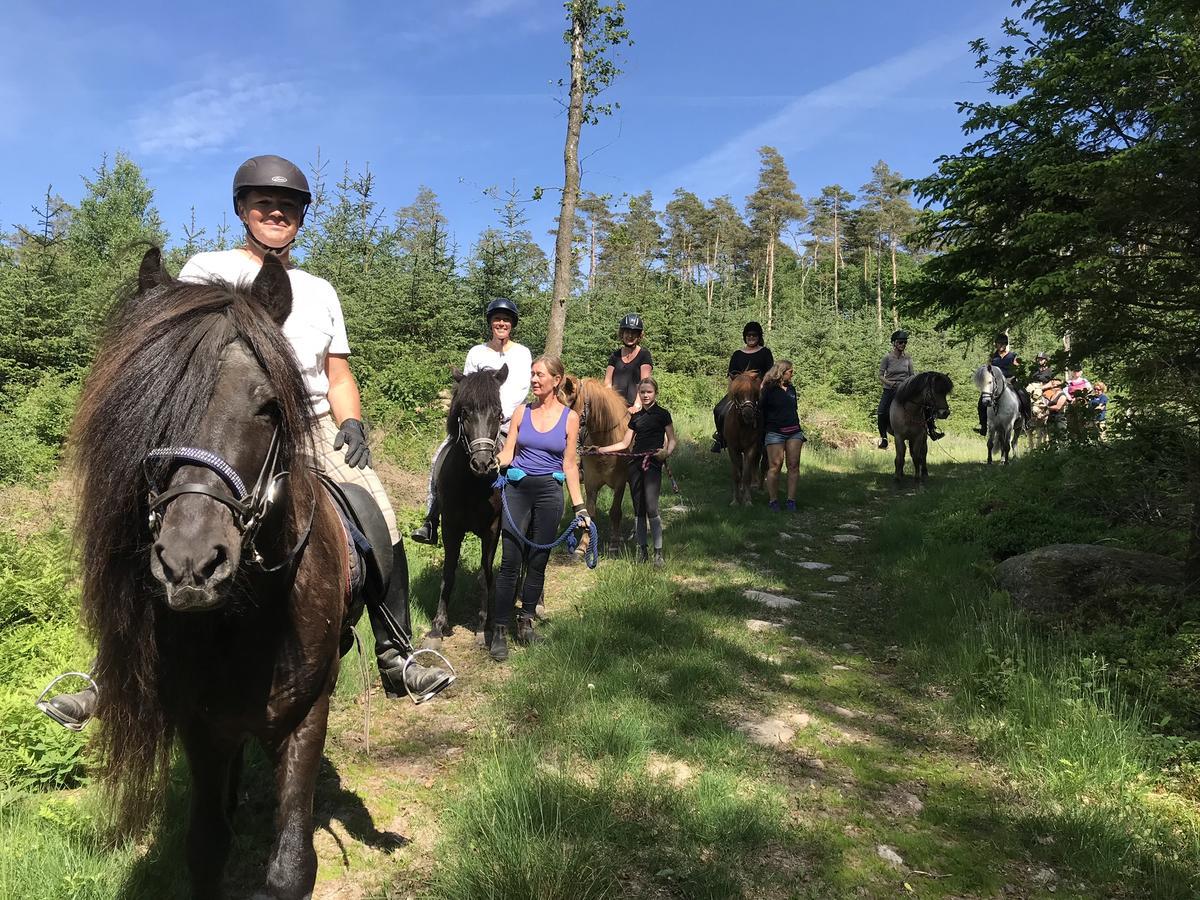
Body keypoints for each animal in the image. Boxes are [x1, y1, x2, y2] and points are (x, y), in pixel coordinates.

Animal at [424, 367, 504, 648]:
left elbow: (485, 575)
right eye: (465, 413)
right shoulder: (451, 528)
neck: (473, 485)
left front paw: (483, 627)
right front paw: (437, 627)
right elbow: (448, 574)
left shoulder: (492, 530)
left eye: (498, 413)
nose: (482, 463)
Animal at [564, 374, 633, 556]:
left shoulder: (620, 483)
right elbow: (590, 512)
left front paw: (614, 545)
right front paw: (582, 546)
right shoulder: (591, 483)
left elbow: (615, 512)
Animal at [715, 369, 763, 504]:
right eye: (737, 394)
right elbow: (736, 474)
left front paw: (747, 500)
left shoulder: (750, 448)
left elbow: (746, 475)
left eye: (754, 393)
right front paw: (736, 500)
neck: (741, 426)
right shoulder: (732, 448)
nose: (748, 415)